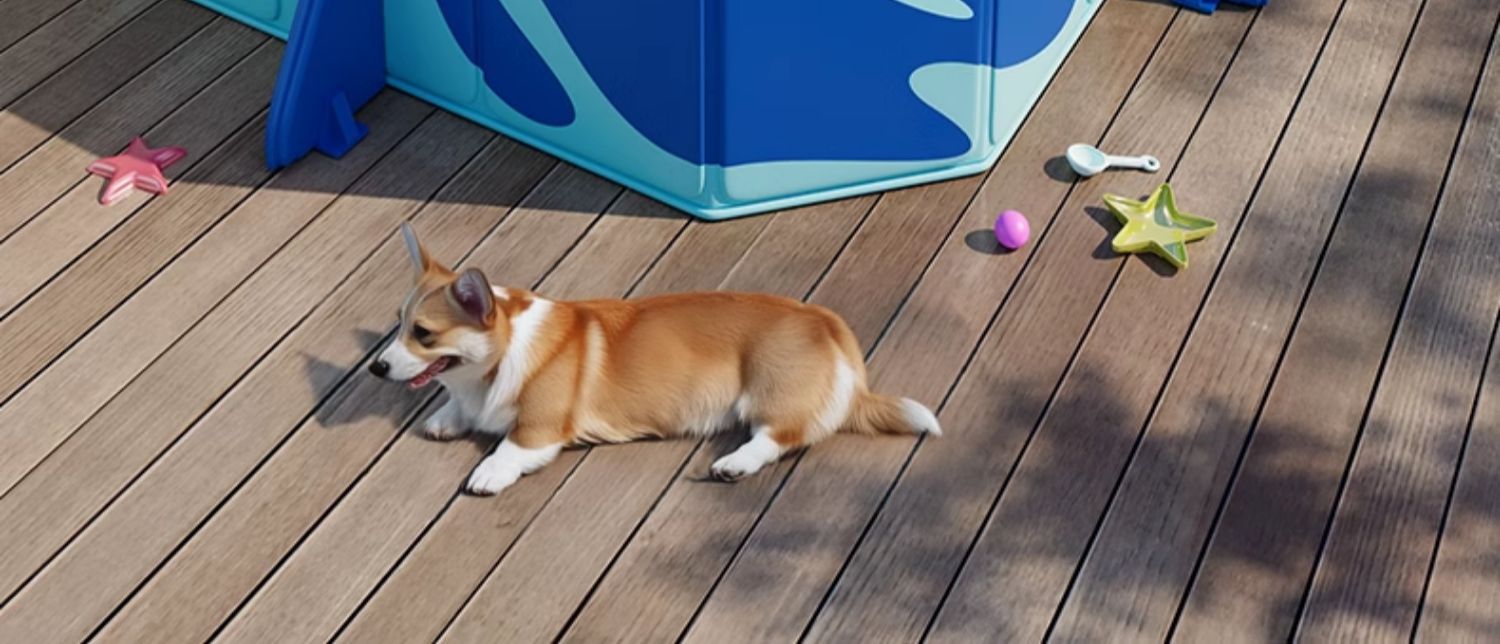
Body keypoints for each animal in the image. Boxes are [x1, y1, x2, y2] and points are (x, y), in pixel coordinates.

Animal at [370, 223, 940, 496]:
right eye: (397, 322)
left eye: (423, 334)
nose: (376, 368)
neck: (503, 352)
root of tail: (832, 327)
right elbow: (455, 410)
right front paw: (446, 418)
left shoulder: (539, 429)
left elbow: (508, 447)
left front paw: (487, 473)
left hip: (770, 391)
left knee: (780, 436)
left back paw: (733, 464)